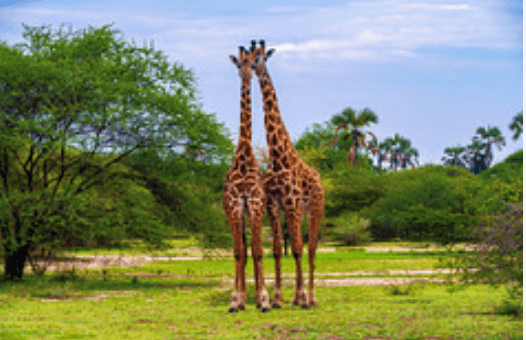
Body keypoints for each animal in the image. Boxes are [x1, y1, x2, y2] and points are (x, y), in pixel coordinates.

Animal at [253, 39, 326, 308]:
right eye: (252, 56)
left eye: (263, 57)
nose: (254, 67)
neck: (277, 157)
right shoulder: (274, 202)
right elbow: (277, 249)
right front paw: (276, 298)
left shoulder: (292, 201)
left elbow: (296, 248)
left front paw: (301, 297)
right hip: (300, 210)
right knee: (303, 246)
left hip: (315, 208)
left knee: (311, 248)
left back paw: (312, 297)